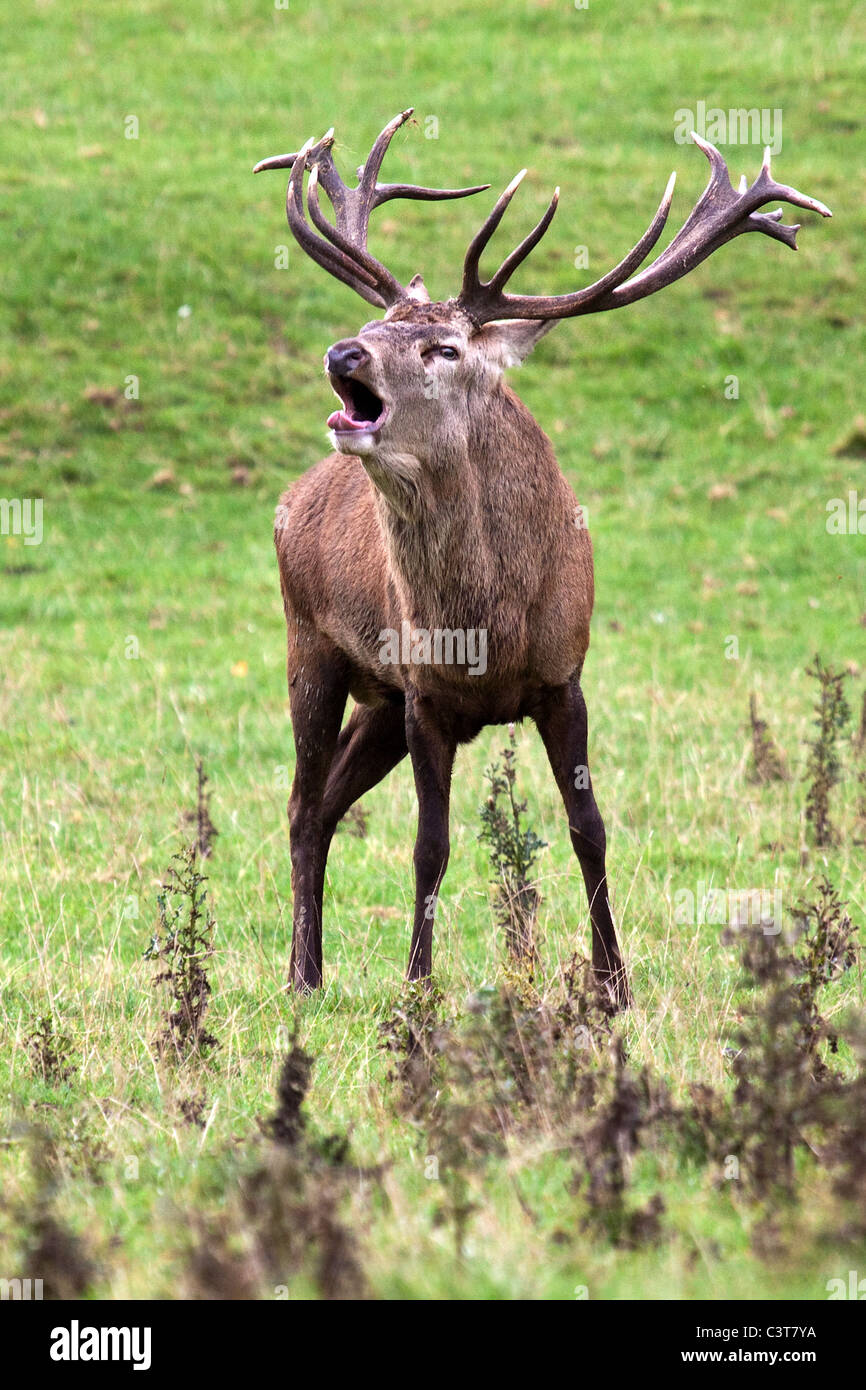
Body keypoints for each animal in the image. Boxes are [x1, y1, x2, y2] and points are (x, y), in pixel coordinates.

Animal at [254, 110, 830, 1011]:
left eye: (444, 348)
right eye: (379, 329)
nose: (345, 353)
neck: (490, 622)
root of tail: (297, 492)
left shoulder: (563, 675)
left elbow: (588, 828)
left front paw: (614, 983)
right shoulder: (425, 694)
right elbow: (430, 846)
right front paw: (418, 989)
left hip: (377, 698)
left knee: (322, 804)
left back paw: (307, 974)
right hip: (308, 645)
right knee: (302, 803)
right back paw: (302, 975)